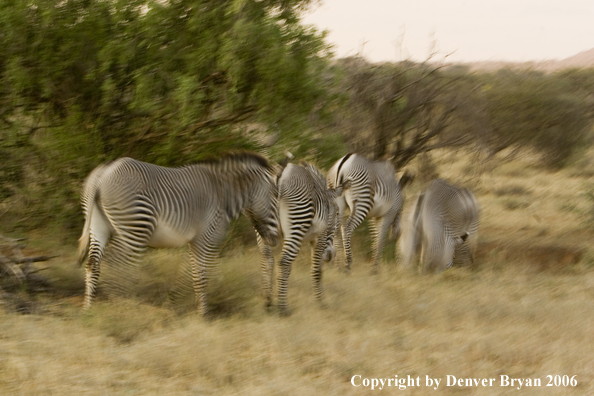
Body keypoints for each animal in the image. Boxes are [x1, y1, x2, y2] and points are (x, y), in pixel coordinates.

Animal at [77, 153, 278, 318]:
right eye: (276, 197)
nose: (274, 241)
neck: (223, 193)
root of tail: (102, 175)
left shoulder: (194, 241)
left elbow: (194, 273)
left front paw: (178, 303)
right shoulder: (207, 239)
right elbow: (201, 275)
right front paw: (200, 313)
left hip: (99, 226)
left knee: (93, 264)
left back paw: (89, 309)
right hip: (136, 226)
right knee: (120, 264)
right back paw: (122, 305)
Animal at [256, 162, 344, 316]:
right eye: (337, 213)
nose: (330, 255)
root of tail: (279, 173)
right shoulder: (319, 236)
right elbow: (317, 270)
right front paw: (320, 303)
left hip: (262, 226)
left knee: (267, 261)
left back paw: (267, 302)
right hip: (296, 223)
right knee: (284, 263)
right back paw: (283, 308)